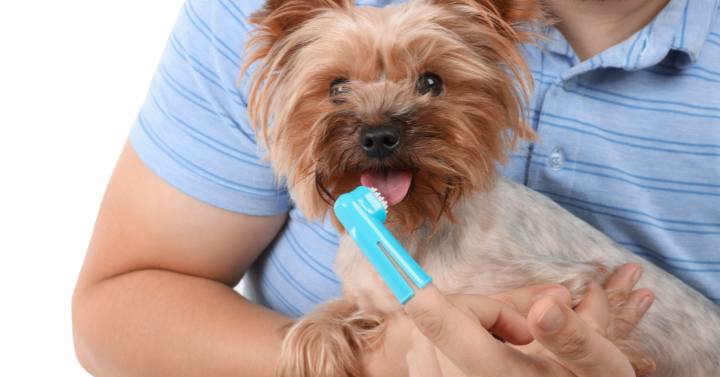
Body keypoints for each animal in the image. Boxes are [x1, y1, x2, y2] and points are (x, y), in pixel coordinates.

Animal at [243, 1, 720, 374]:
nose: (378, 135)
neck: (408, 228)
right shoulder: (368, 296)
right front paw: (314, 350)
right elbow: (322, 320)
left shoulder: (567, 289)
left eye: (431, 82)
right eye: (336, 87)